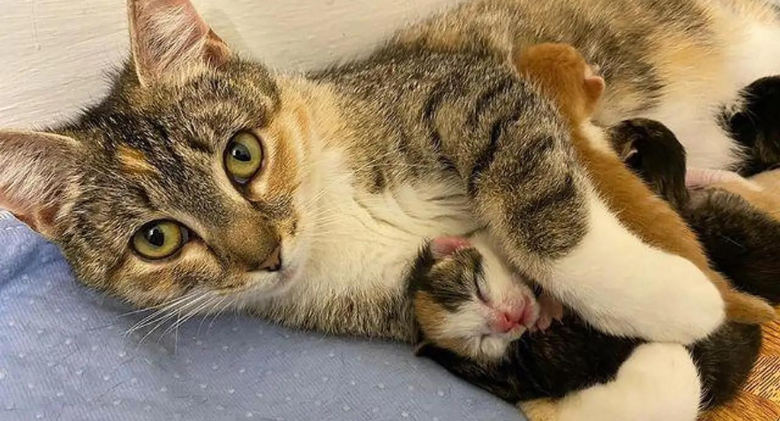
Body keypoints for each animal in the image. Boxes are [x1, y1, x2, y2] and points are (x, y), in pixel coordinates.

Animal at [1, 0, 780, 344]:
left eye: (241, 153)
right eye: (156, 239)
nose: (267, 255)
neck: (337, 217)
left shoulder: (467, 89)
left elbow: (544, 212)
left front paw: (671, 300)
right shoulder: (398, 300)